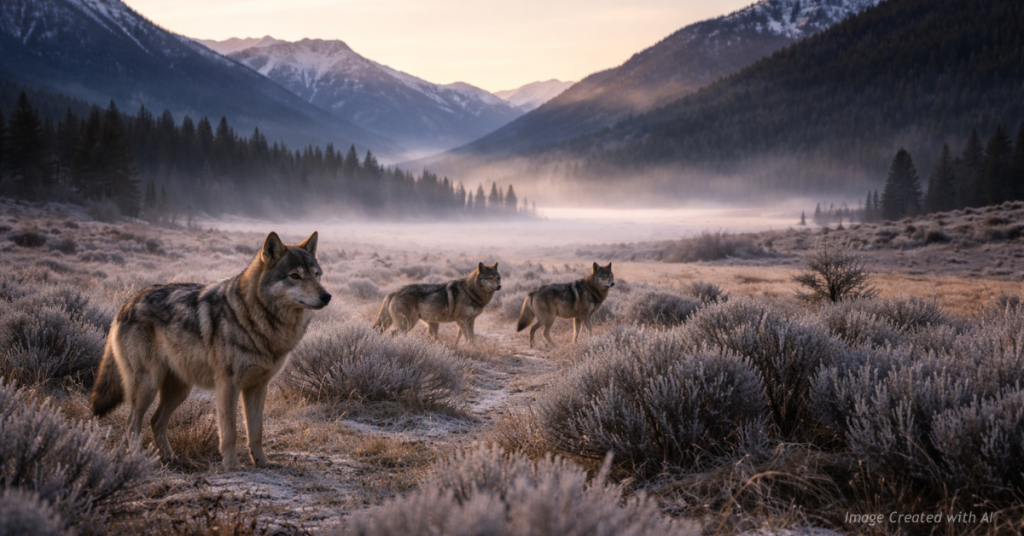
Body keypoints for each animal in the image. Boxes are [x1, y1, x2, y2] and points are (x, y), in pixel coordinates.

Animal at [89, 231, 330, 470]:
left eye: (317, 274)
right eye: (295, 276)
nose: (326, 296)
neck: (256, 317)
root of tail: (126, 303)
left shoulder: (258, 386)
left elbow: (256, 432)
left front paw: (262, 463)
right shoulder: (228, 384)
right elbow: (230, 431)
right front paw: (232, 466)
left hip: (180, 389)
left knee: (155, 421)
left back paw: (171, 458)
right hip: (148, 384)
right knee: (132, 423)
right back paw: (139, 460)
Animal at [372, 262, 500, 345]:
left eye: (498, 277)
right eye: (490, 278)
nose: (499, 287)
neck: (471, 291)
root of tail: (394, 292)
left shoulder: (469, 321)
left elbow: (470, 339)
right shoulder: (462, 320)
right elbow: (468, 339)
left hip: (429, 324)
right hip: (408, 324)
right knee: (392, 333)